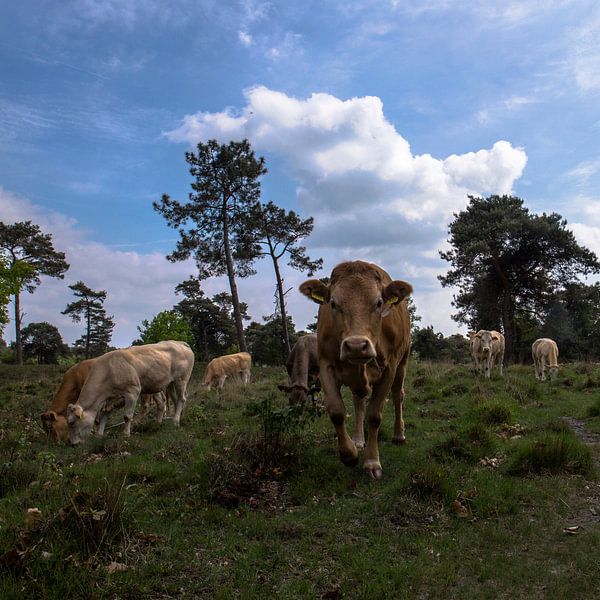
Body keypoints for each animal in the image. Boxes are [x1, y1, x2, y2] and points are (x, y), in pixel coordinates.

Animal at [67, 340, 195, 442]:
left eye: (72, 422)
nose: (72, 444)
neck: (109, 369)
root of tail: (180, 343)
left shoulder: (132, 391)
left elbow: (127, 416)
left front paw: (125, 434)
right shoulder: (111, 398)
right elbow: (104, 415)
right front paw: (99, 435)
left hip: (182, 379)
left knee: (182, 398)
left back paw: (175, 421)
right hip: (170, 383)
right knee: (172, 400)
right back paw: (164, 421)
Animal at [300, 260, 412, 480]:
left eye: (379, 302)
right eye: (333, 303)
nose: (356, 346)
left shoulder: (390, 367)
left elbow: (375, 415)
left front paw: (372, 462)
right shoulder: (326, 365)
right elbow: (337, 411)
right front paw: (349, 454)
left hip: (402, 362)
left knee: (397, 396)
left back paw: (398, 434)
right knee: (358, 402)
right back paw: (359, 440)